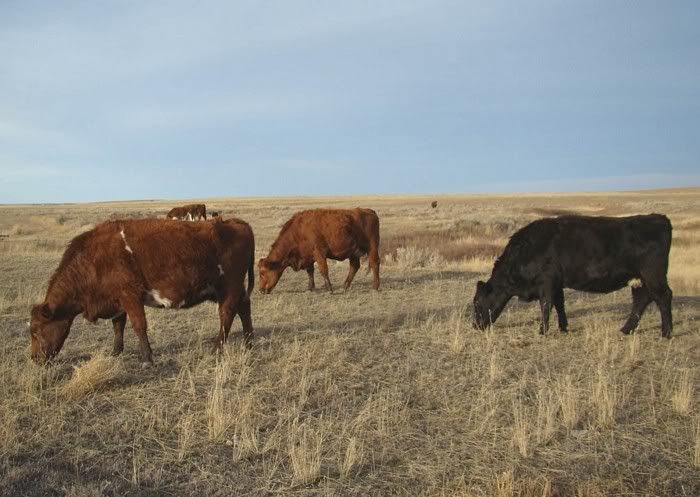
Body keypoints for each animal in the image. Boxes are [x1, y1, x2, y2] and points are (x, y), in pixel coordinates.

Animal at [29, 217, 255, 366]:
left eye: (36, 330)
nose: (34, 359)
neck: (94, 259)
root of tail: (235, 222)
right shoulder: (117, 300)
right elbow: (118, 326)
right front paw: (116, 352)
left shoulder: (130, 295)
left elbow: (139, 326)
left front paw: (147, 359)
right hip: (230, 289)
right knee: (244, 307)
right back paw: (248, 342)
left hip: (229, 286)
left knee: (226, 314)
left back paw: (217, 349)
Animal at [472, 214, 673, 337]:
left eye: (477, 302)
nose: (475, 326)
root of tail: (659, 218)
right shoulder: (557, 284)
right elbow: (560, 305)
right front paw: (563, 327)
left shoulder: (546, 282)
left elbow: (546, 306)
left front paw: (542, 331)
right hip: (641, 279)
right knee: (642, 299)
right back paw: (626, 329)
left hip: (653, 275)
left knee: (663, 297)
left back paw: (666, 333)